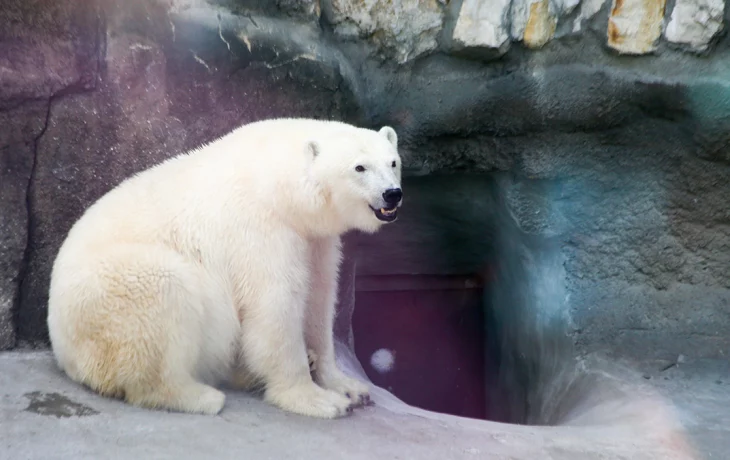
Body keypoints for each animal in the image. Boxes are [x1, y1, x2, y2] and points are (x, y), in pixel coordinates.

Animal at [47, 117, 404, 418]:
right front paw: (317, 399)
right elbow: (275, 307)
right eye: (359, 167)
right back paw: (199, 396)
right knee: (163, 293)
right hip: (108, 295)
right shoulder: (261, 231)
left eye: (393, 162)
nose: (392, 194)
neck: (277, 184)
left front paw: (349, 386)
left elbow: (319, 299)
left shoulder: (315, 239)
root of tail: (61, 347)